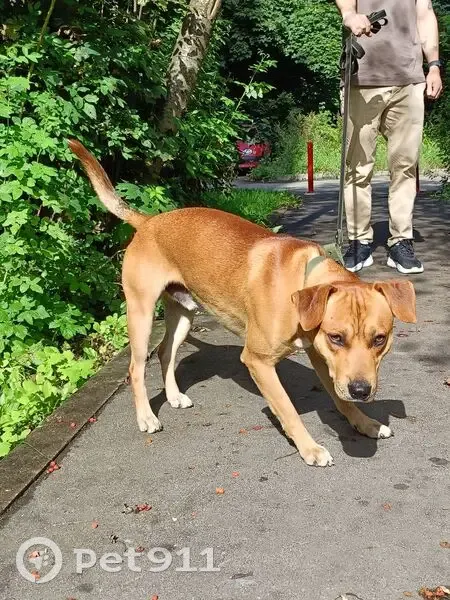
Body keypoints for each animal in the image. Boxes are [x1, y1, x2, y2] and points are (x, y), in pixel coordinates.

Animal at [69, 139, 416, 467]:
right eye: (336, 337)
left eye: (380, 339)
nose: (362, 391)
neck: (299, 282)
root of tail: (149, 221)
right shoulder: (259, 361)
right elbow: (288, 409)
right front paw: (310, 448)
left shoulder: (324, 359)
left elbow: (340, 399)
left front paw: (366, 423)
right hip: (140, 313)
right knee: (136, 366)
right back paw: (146, 417)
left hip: (183, 313)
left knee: (166, 351)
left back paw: (174, 396)